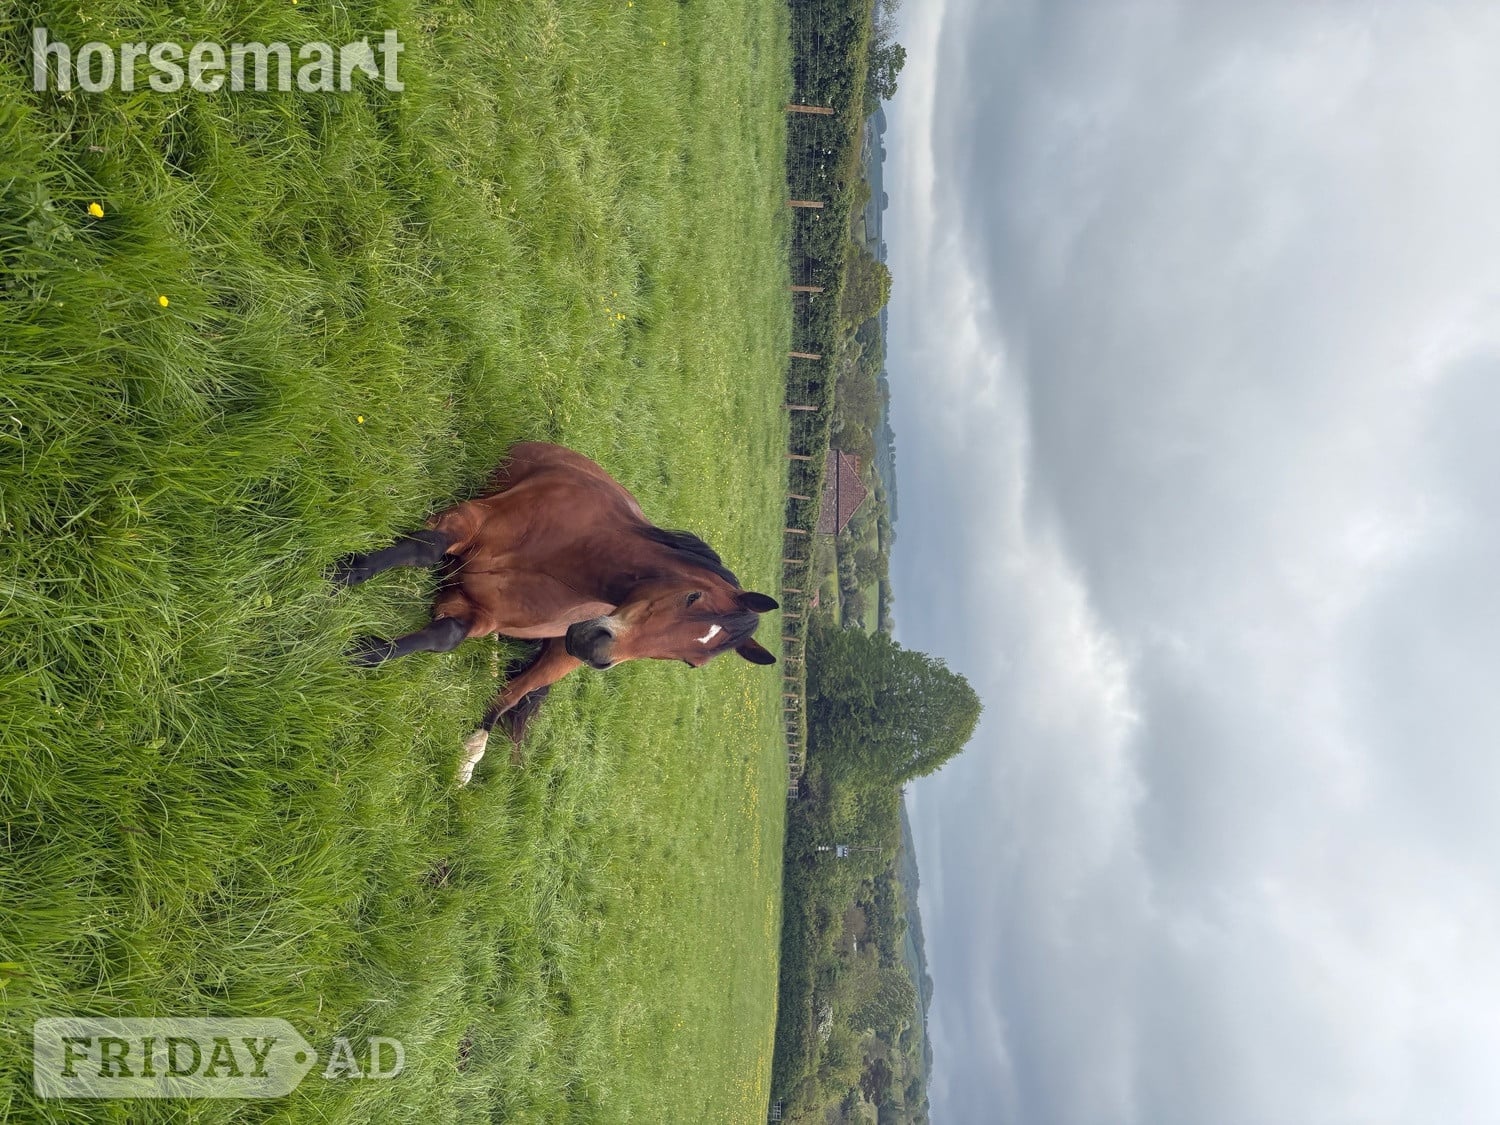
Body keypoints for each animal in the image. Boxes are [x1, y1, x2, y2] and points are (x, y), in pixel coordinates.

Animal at [333, 442, 779, 784]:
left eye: (691, 663)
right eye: (692, 598)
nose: (596, 649)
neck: (571, 558)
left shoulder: (478, 613)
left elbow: (445, 636)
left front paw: (363, 652)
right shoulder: (470, 520)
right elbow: (424, 550)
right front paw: (342, 575)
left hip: (559, 659)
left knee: (507, 696)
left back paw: (467, 761)